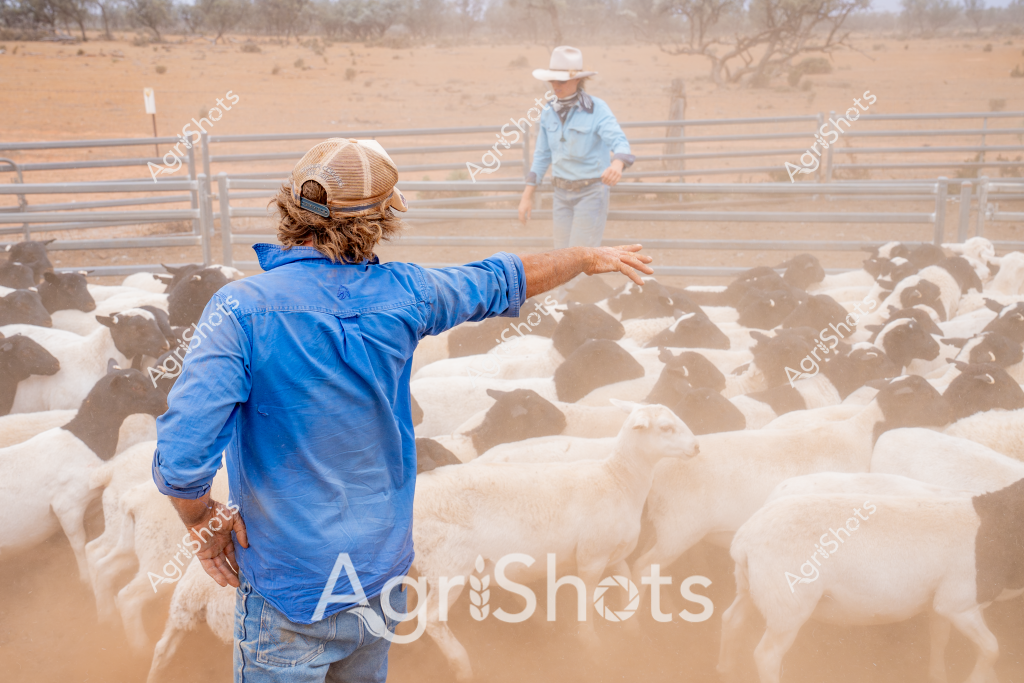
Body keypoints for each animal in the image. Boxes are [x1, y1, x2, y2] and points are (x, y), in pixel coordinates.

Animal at [0, 366, 167, 584]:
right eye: (136, 387)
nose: (165, 402)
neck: (88, 440)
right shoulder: (68, 506)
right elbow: (79, 543)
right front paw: (85, 579)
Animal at [412, 401, 699, 681]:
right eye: (666, 428)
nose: (697, 446)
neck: (617, 480)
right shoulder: (592, 557)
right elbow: (587, 601)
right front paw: (592, 645)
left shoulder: (613, 553)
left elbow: (627, 583)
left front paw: (631, 628)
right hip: (449, 567)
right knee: (431, 619)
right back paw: (462, 665)